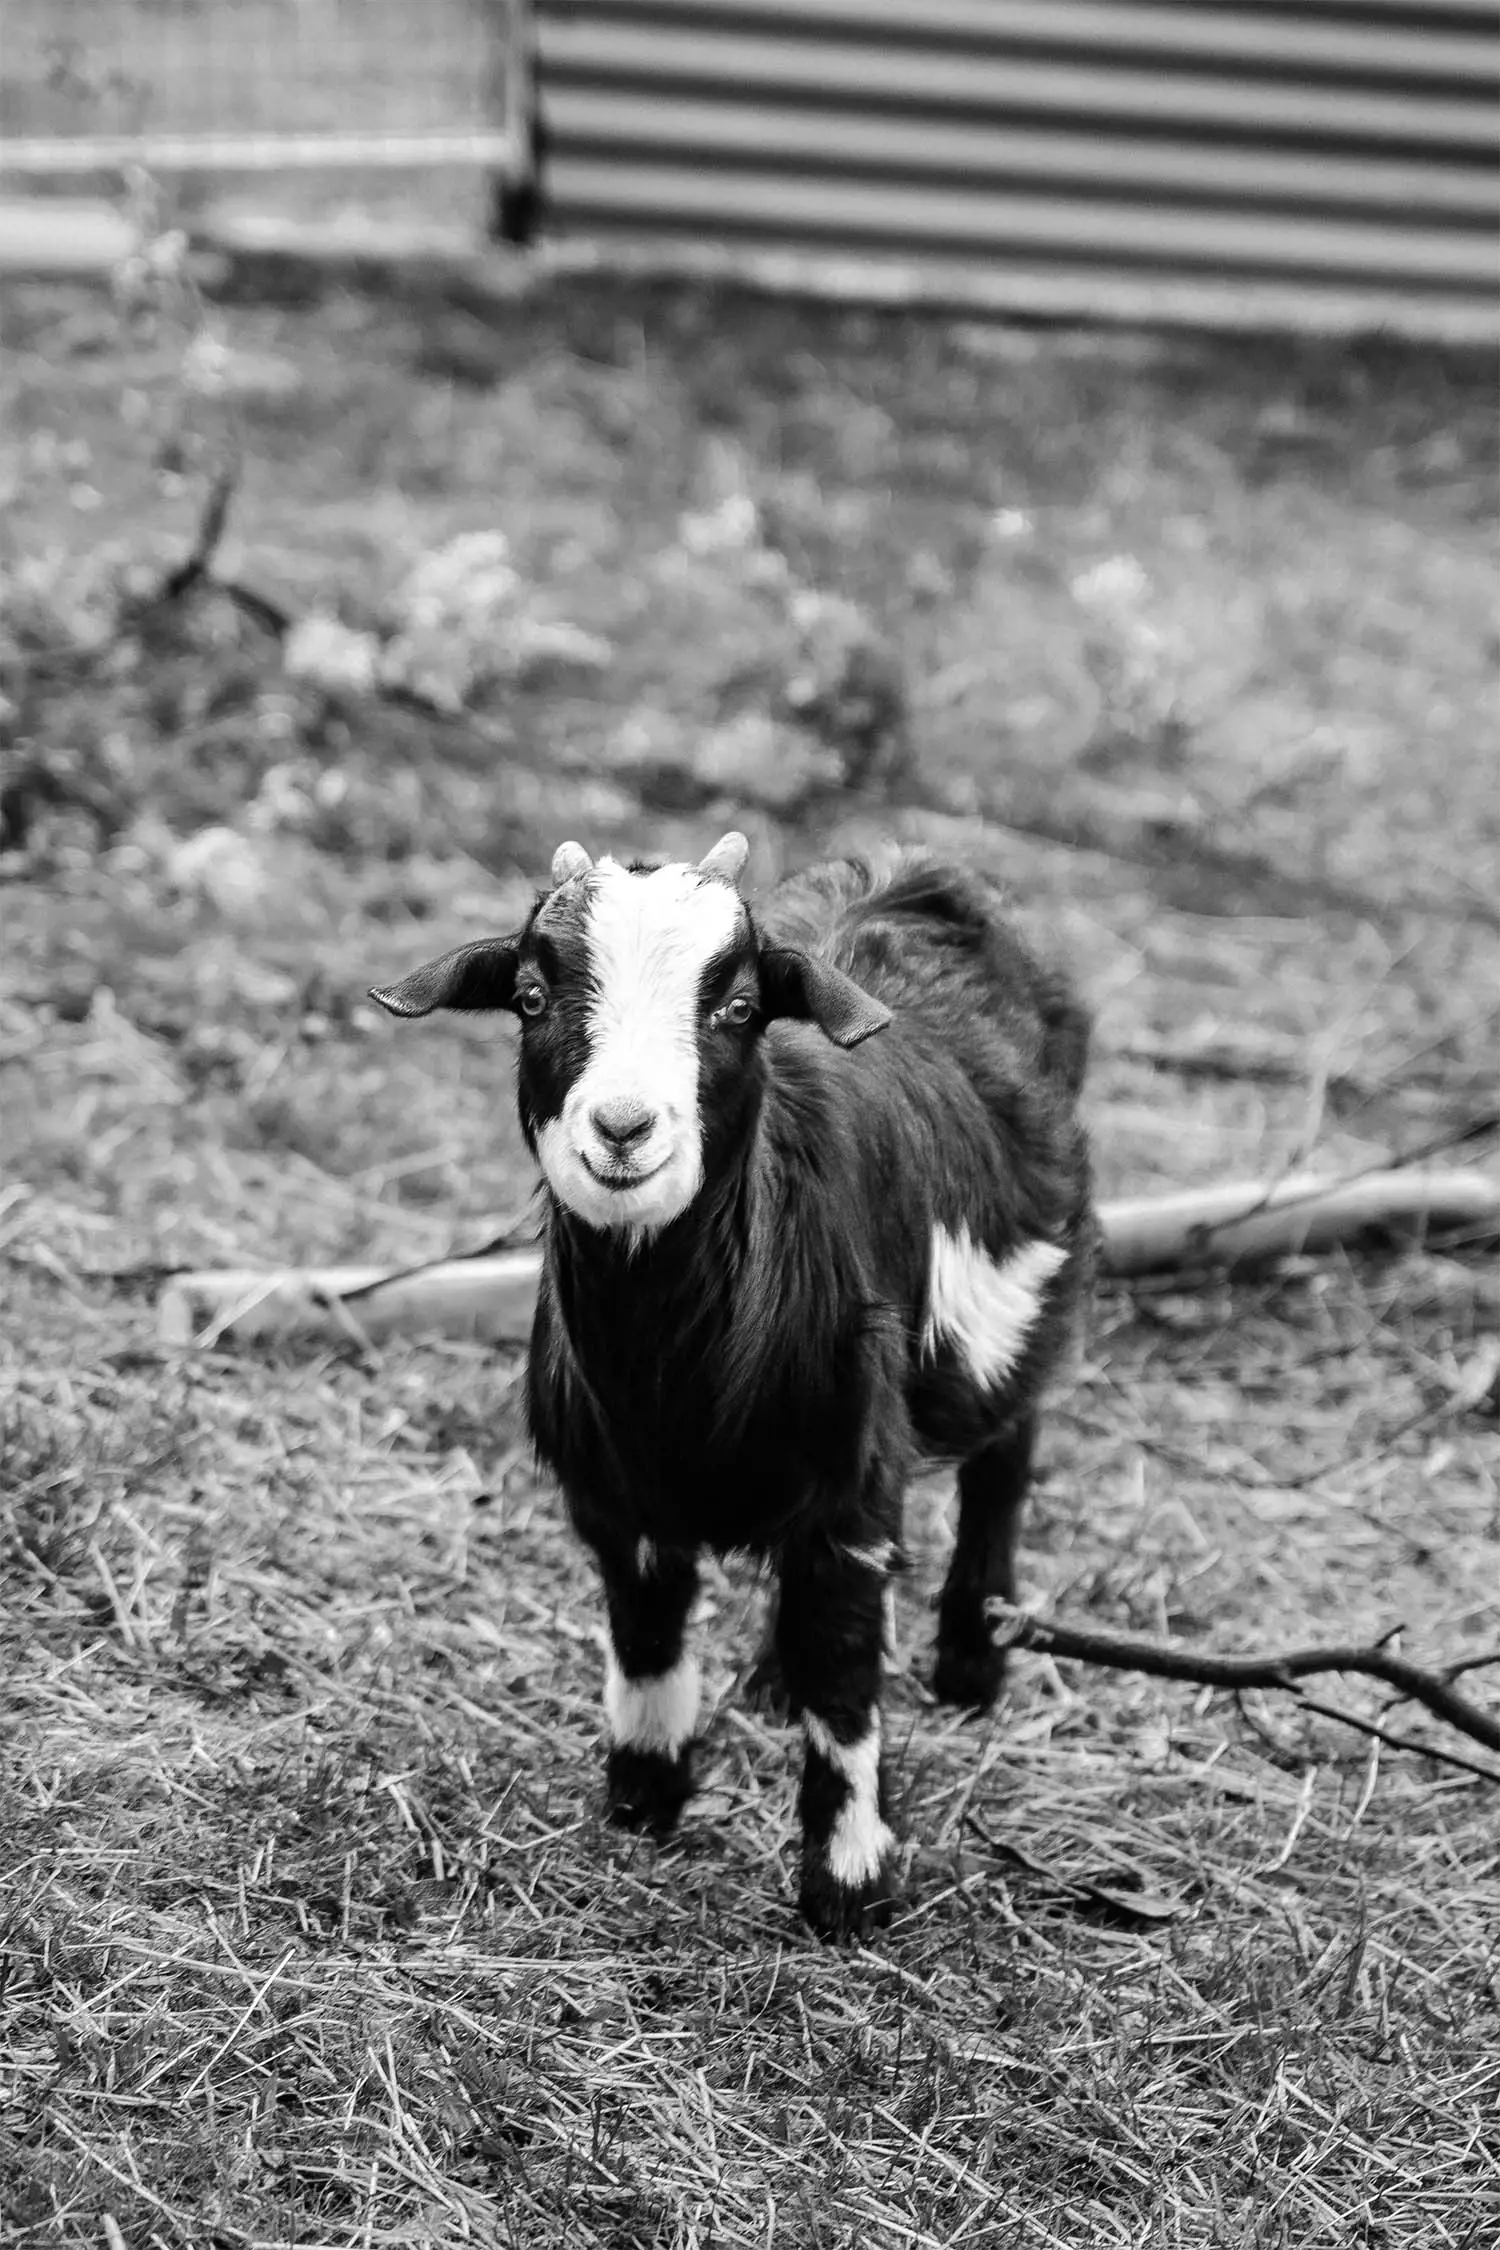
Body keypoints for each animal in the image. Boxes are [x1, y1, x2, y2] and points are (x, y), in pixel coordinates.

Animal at [370, 832, 1093, 1937]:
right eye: (531, 997)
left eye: (740, 1008)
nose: (625, 1128)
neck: (674, 1365)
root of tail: (925, 872)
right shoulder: (615, 1490)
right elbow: (647, 1635)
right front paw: (643, 1799)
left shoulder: (852, 1483)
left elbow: (842, 1663)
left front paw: (848, 1884)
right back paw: (770, 1680)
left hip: (1011, 1319)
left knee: (1004, 1460)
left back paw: (972, 1659)